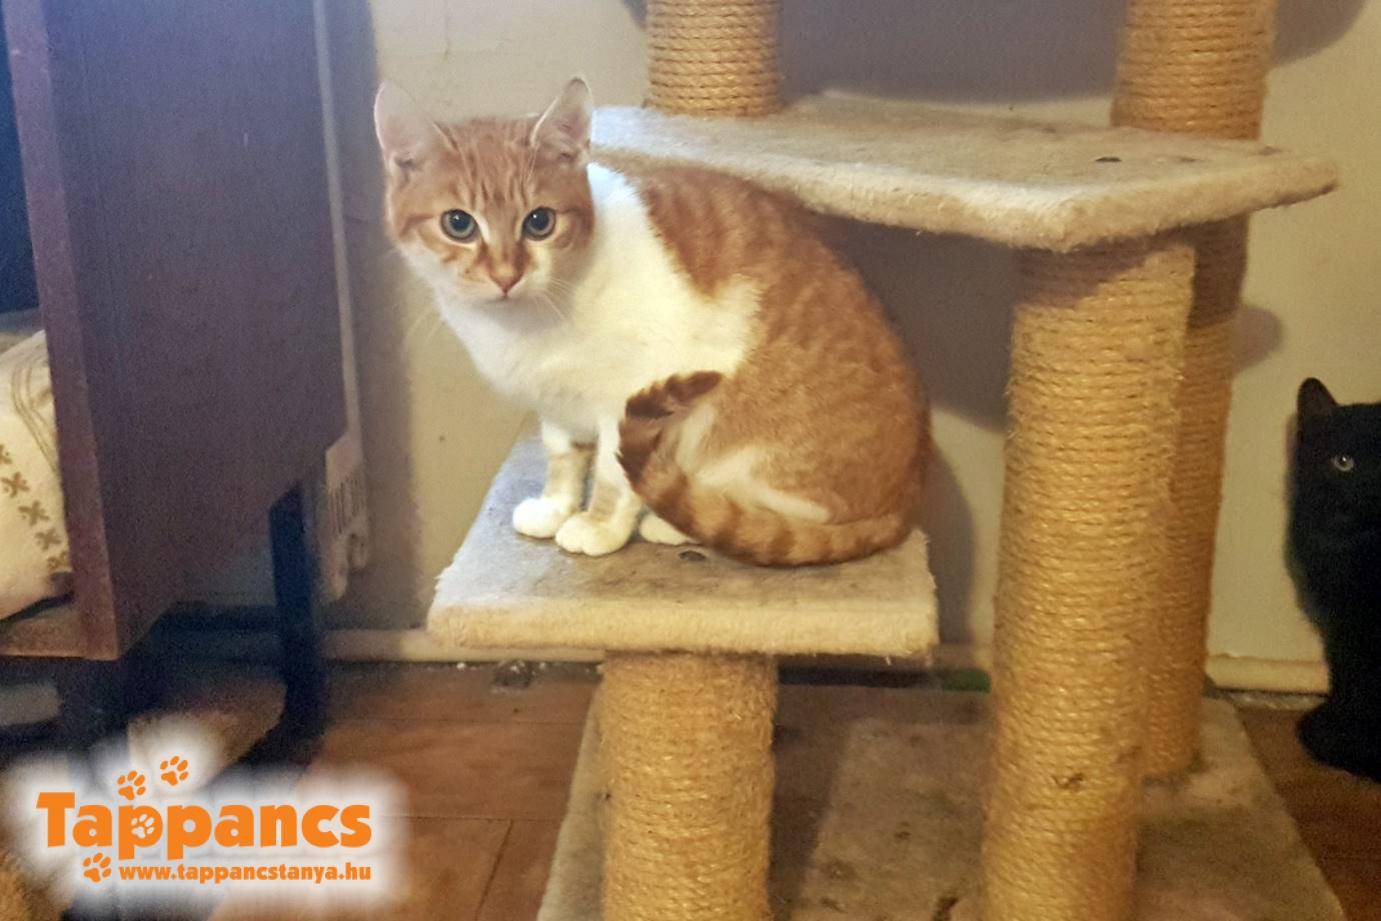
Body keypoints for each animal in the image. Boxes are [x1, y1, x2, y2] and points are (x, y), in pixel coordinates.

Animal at [374, 78, 927, 565]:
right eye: (458, 224)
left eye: (539, 222)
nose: (506, 275)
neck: (526, 323)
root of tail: (907, 497)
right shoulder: (553, 401)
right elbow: (563, 457)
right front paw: (555, 508)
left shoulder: (629, 395)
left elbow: (613, 474)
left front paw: (598, 527)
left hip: (749, 451)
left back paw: (676, 523)